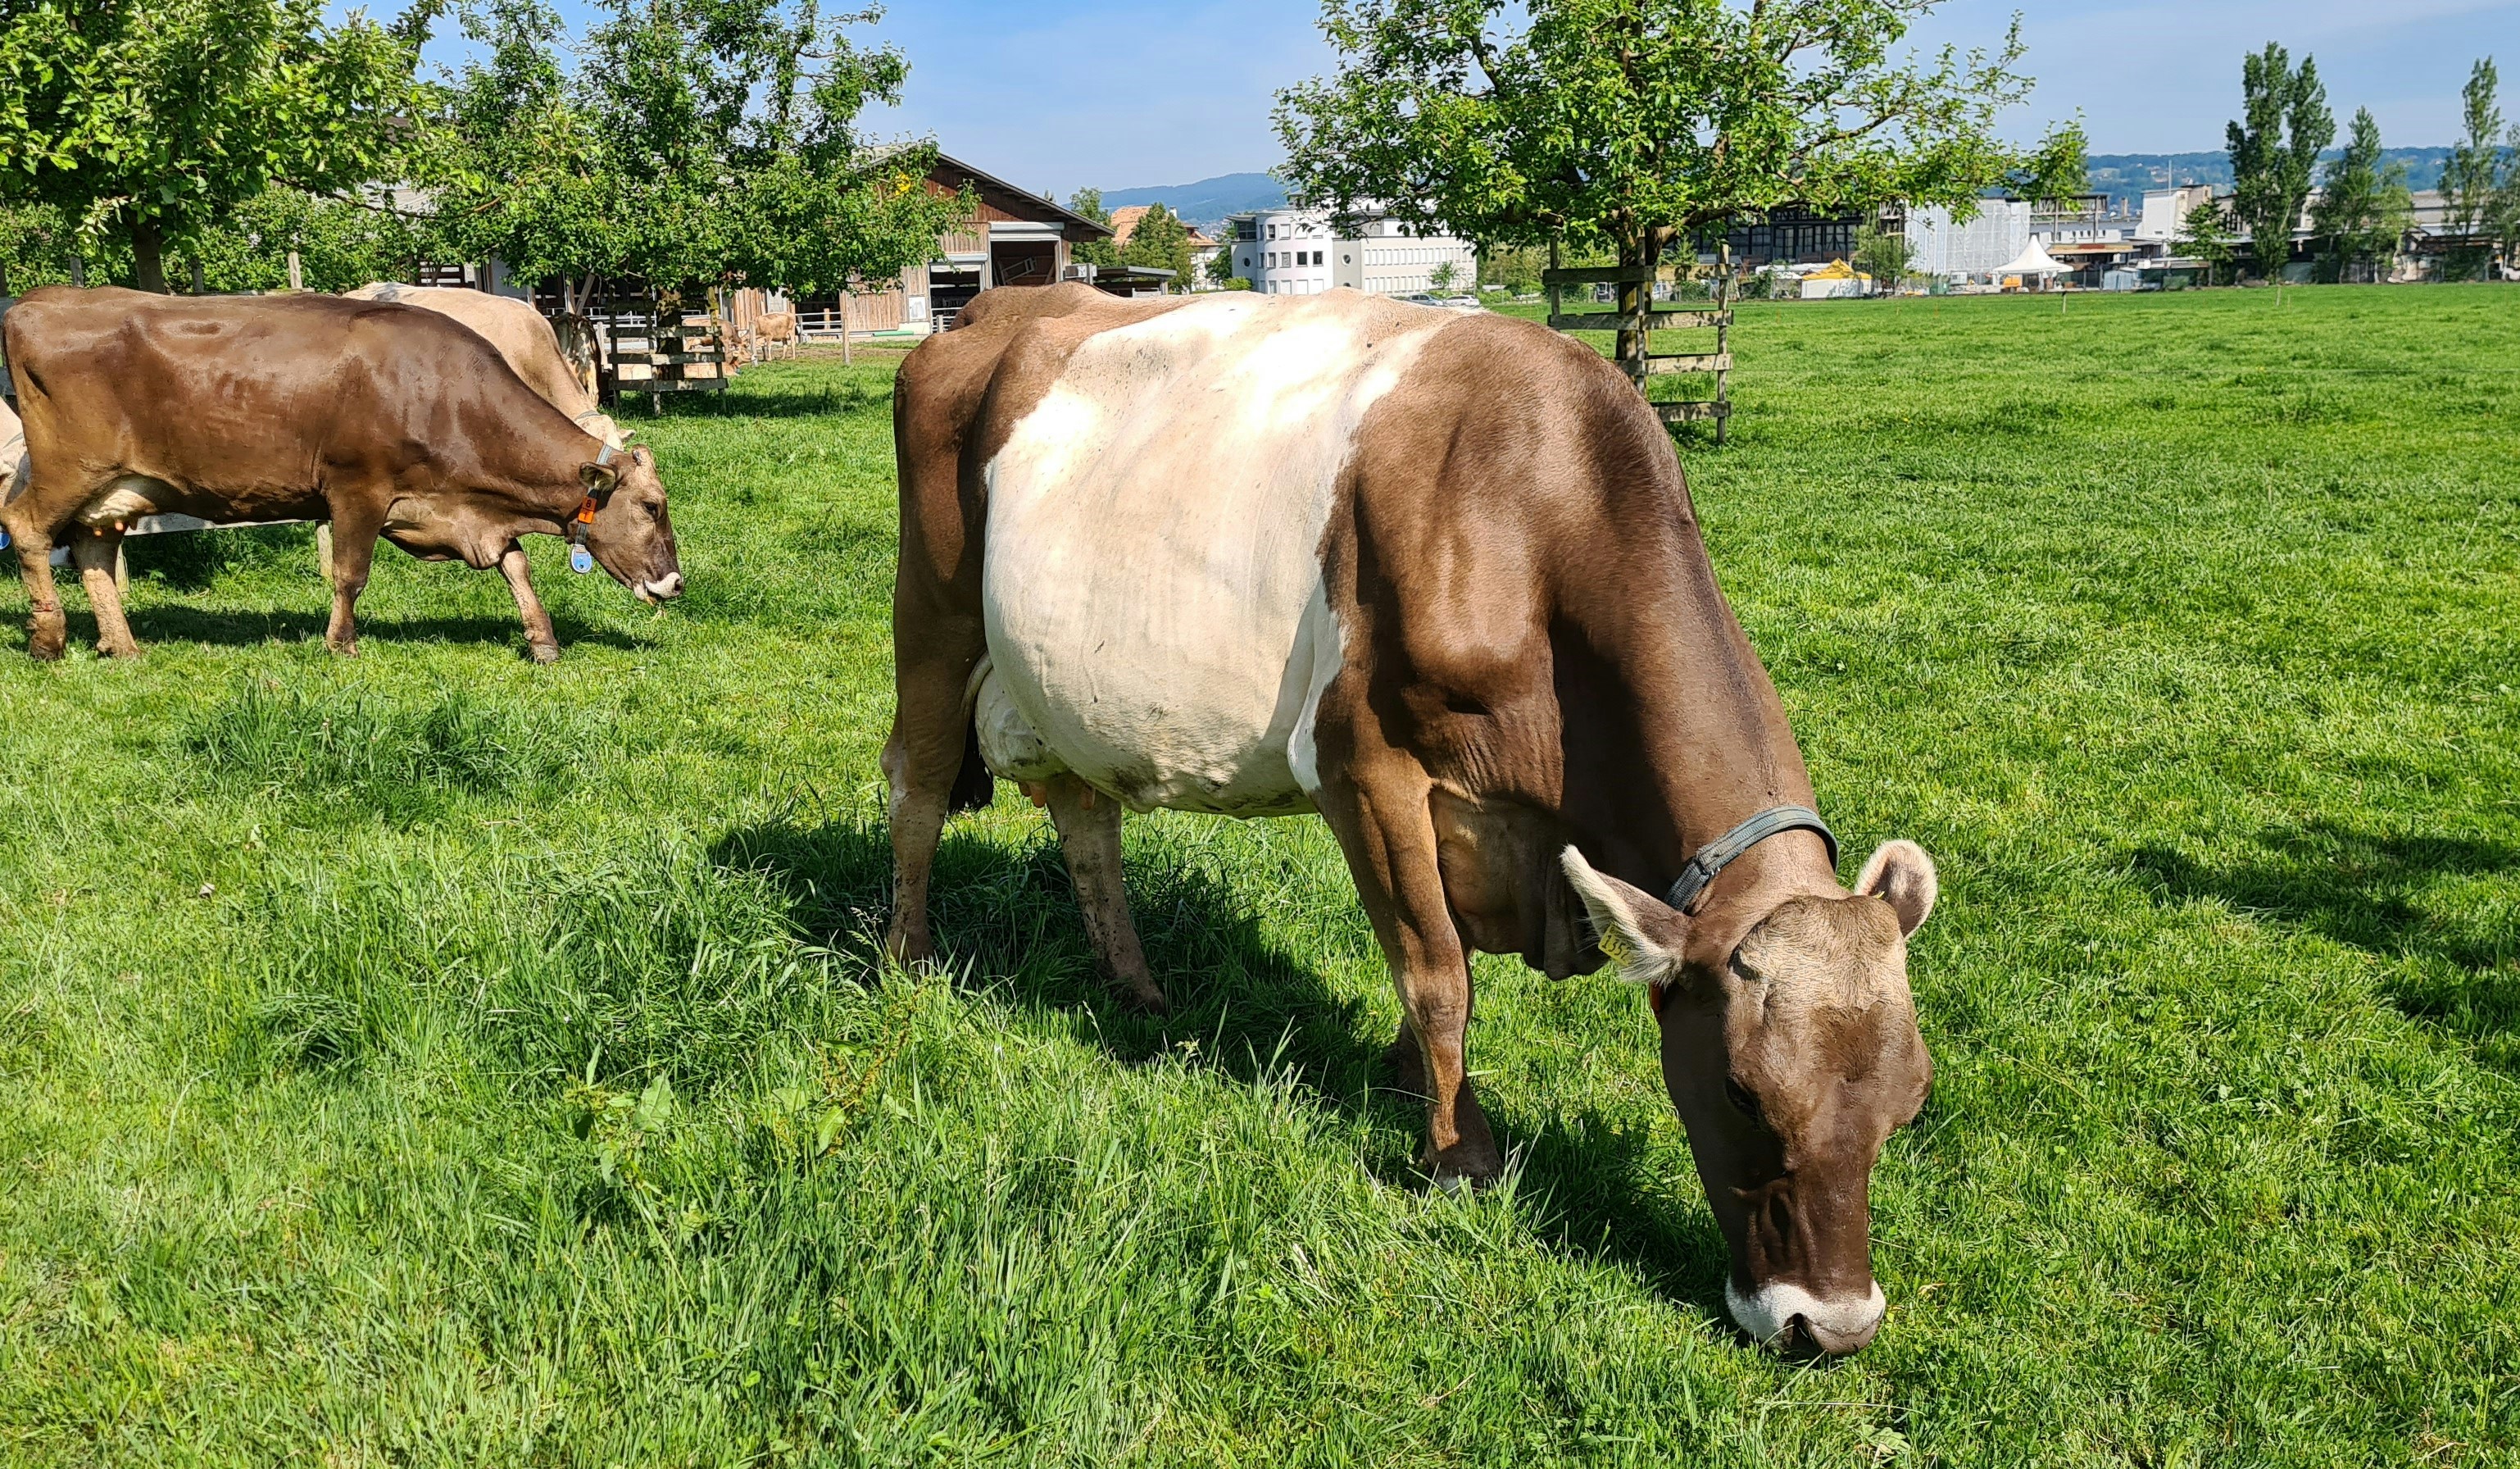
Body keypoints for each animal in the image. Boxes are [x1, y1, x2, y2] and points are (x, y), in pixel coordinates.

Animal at [885, 284, 1940, 1357]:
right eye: (1739, 1089)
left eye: (1914, 1099)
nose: (1829, 1324)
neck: (1532, 523)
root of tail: (1002, 304)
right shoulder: (1364, 765)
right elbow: (1436, 972)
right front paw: (1457, 1149)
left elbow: (1433, 956)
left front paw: (1406, 1080)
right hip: (931, 619)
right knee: (914, 790)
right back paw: (910, 957)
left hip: (1062, 688)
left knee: (1086, 822)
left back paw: (1135, 987)